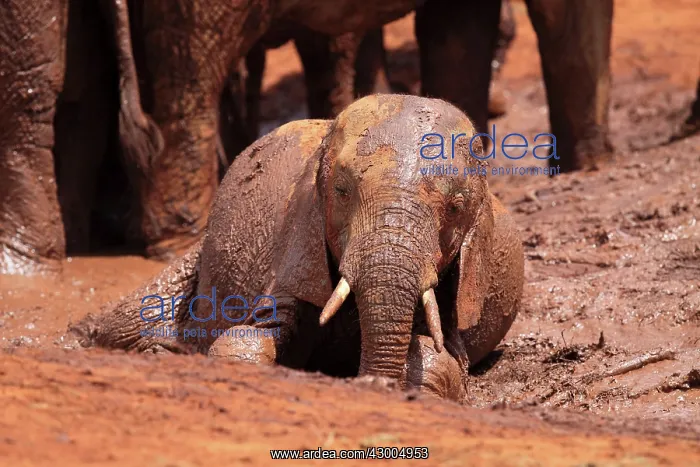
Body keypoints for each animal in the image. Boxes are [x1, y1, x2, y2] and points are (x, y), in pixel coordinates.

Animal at [73, 94, 525, 401]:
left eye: (457, 207)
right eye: (341, 191)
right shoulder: (298, 240)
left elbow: (442, 357)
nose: (372, 382)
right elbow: (251, 336)